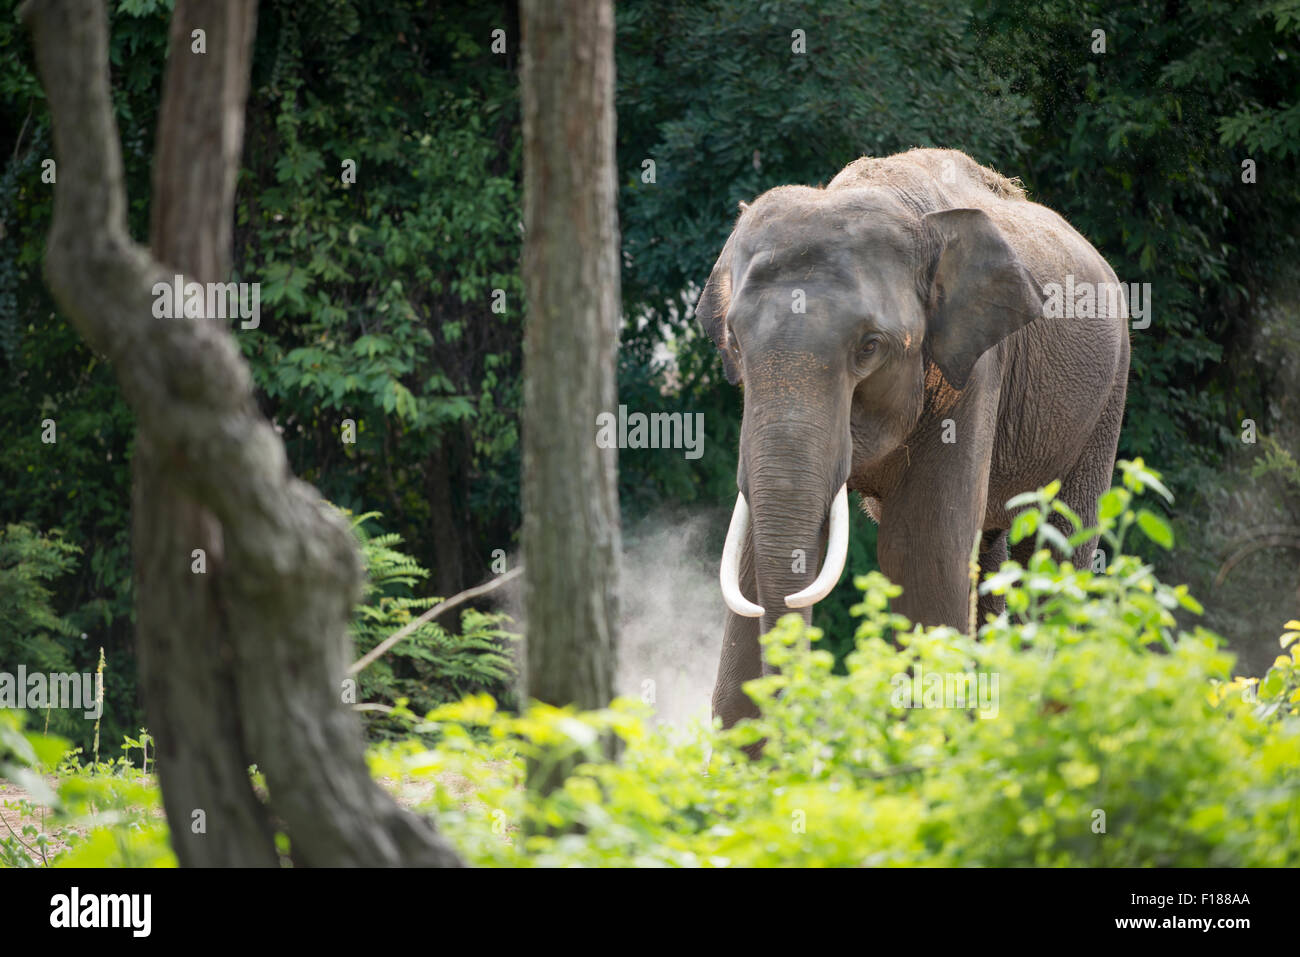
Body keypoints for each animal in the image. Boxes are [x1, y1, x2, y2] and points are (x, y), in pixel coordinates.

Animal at [696, 147, 1133, 722]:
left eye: (869, 347)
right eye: (735, 343)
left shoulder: (974, 371)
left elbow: (922, 553)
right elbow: (748, 566)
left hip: (1107, 395)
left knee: (1056, 551)